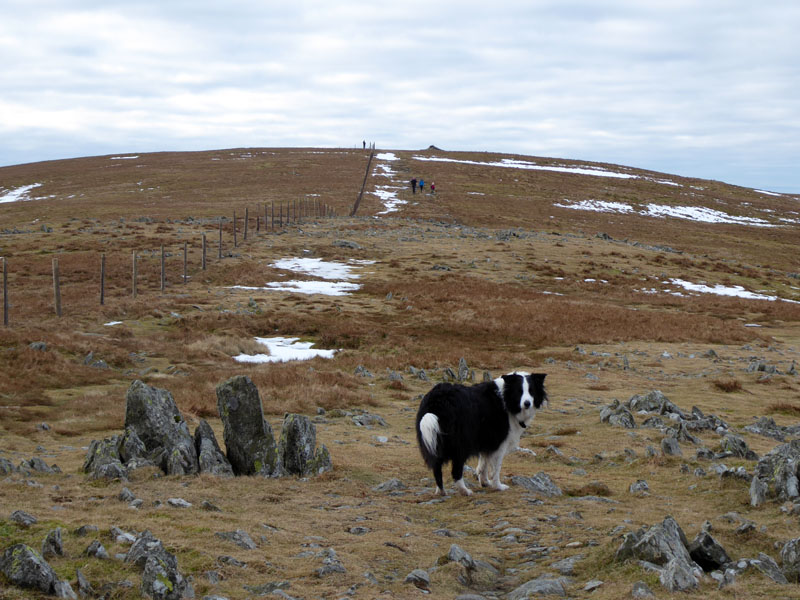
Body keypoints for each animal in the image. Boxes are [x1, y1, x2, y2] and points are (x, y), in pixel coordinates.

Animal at [416, 372, 548, 494]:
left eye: (531, 391)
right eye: (519, 391)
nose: (527, 403)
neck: (506, 399)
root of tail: (436, 401)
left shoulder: (487, 440)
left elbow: (484, 462)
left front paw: (485, 482)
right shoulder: (499, 442)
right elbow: (496, 467)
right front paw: (498, 486)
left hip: (434, 441)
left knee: (436, 467)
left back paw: (441, 491)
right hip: (461, 443)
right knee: (456, 470)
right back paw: (465, 491)